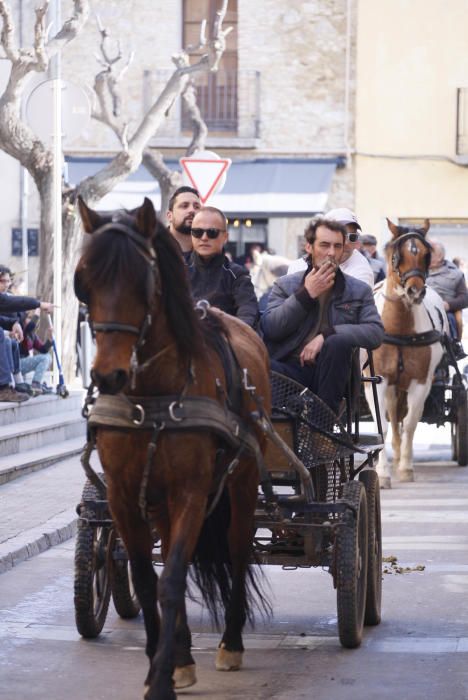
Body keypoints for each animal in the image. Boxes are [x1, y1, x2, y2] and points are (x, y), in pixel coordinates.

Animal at [75, 197, 272, 700]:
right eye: (84, 280)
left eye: (141, 281)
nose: (108, 375)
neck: (152, 397)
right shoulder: (124, 497)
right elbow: (149, 580)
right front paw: (162, 664)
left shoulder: (191, 493)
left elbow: (172, 579)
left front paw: (162, 678)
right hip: (158, 499)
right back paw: (182, 653)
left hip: (241, 481)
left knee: (238, 549)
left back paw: (230, 643)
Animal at [364, 217, 448, 486]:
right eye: (395, 256)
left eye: (425, 255)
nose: (415, 291)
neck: (399, 330)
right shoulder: (377, 381)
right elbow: (383, 426)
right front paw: (382, 473)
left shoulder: (421, 382)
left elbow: (410, 423)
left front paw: (405, 468)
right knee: (392, 415)